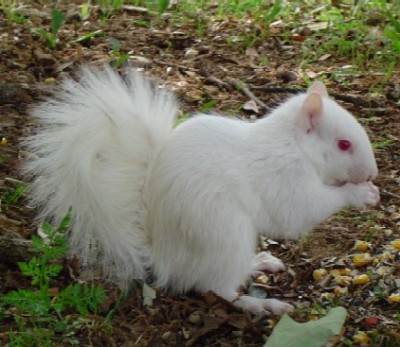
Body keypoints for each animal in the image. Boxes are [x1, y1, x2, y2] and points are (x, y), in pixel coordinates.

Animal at [23, 65, 380, 316]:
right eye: (343, 144)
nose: (373, 172)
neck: (293, 145)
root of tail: (164, 258)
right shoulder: (284, 177)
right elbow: (298, 214)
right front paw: (361, 193)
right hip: (225, 235)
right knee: (216, 288)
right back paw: (259, 304)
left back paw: (257, 263)